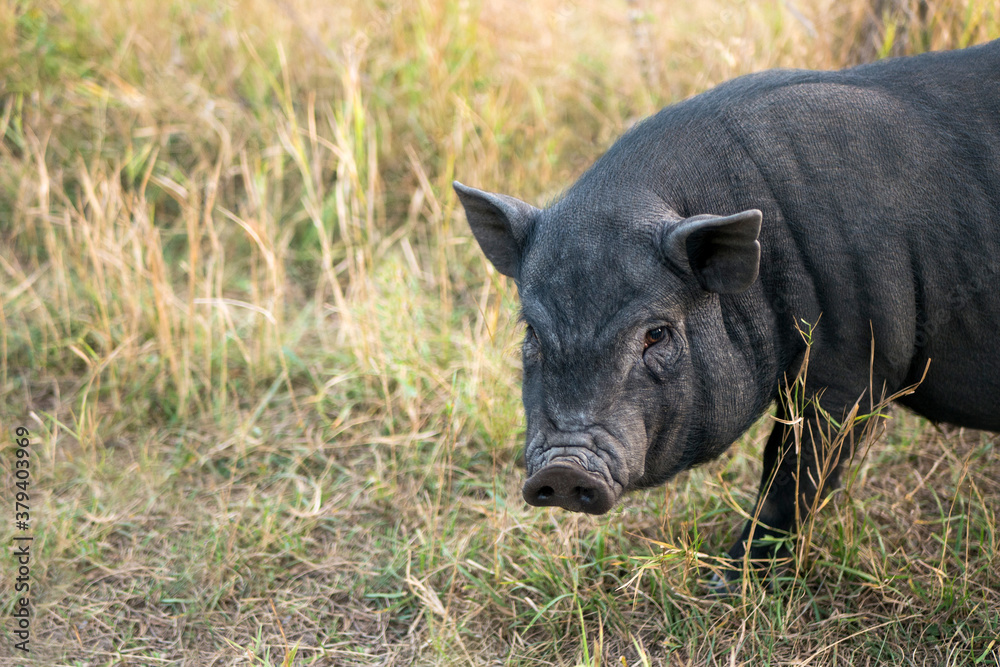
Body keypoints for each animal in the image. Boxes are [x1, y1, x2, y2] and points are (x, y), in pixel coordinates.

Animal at [454, 39, 1000, 582]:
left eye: (656, 333)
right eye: (532, 333)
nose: (563, 469)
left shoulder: (855, 366)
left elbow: (790, 469)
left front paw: (726, 579)